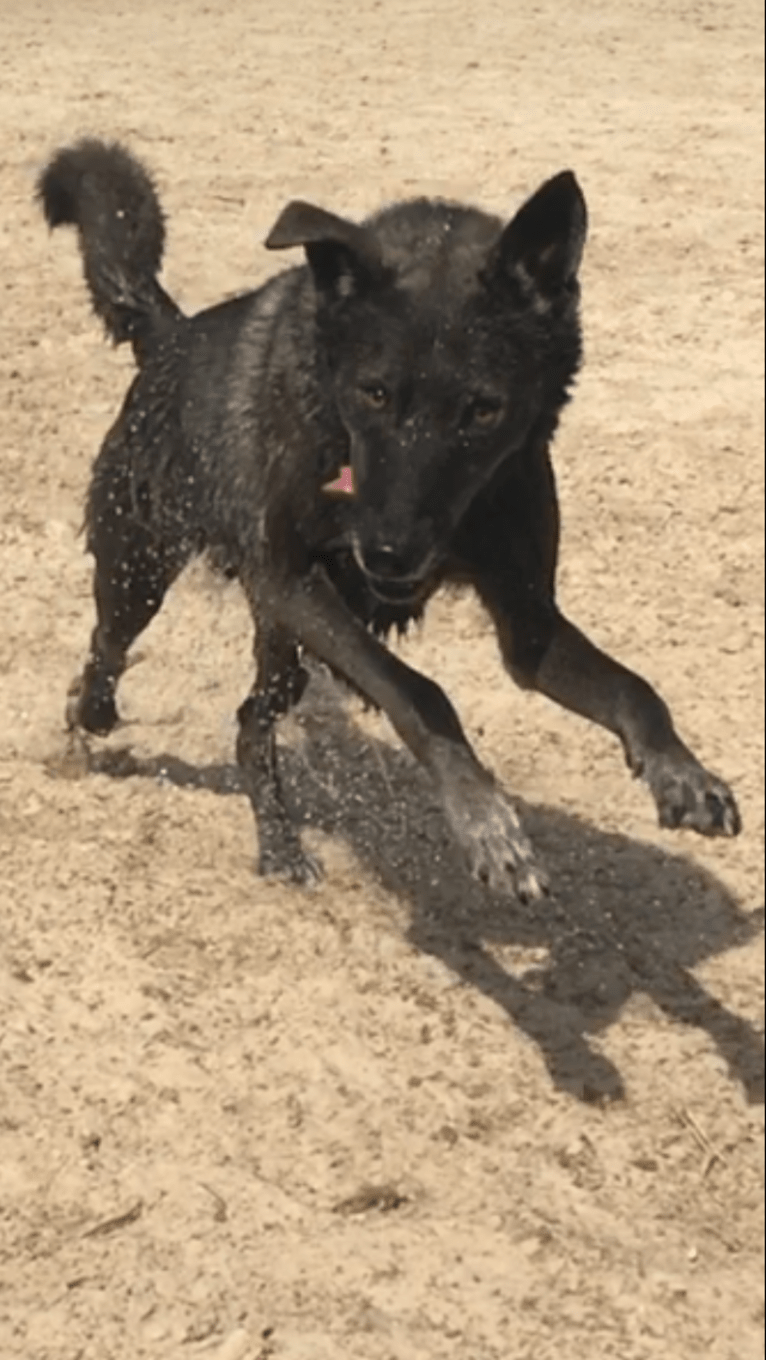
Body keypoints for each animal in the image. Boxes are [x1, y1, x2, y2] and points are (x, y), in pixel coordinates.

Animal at [37, 143, 745, 897]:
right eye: (372, 392)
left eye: (483, 410)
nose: (387, 553)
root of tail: (170, 333)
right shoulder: (292, 581)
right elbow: (419, 692)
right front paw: (487, 824)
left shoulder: (527, 620)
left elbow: (633, 689)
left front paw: (682, 773)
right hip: (143, 563)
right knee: (110, 645)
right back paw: (91, 713)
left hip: (283, 644)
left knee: (251, 721)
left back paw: (279, 846)